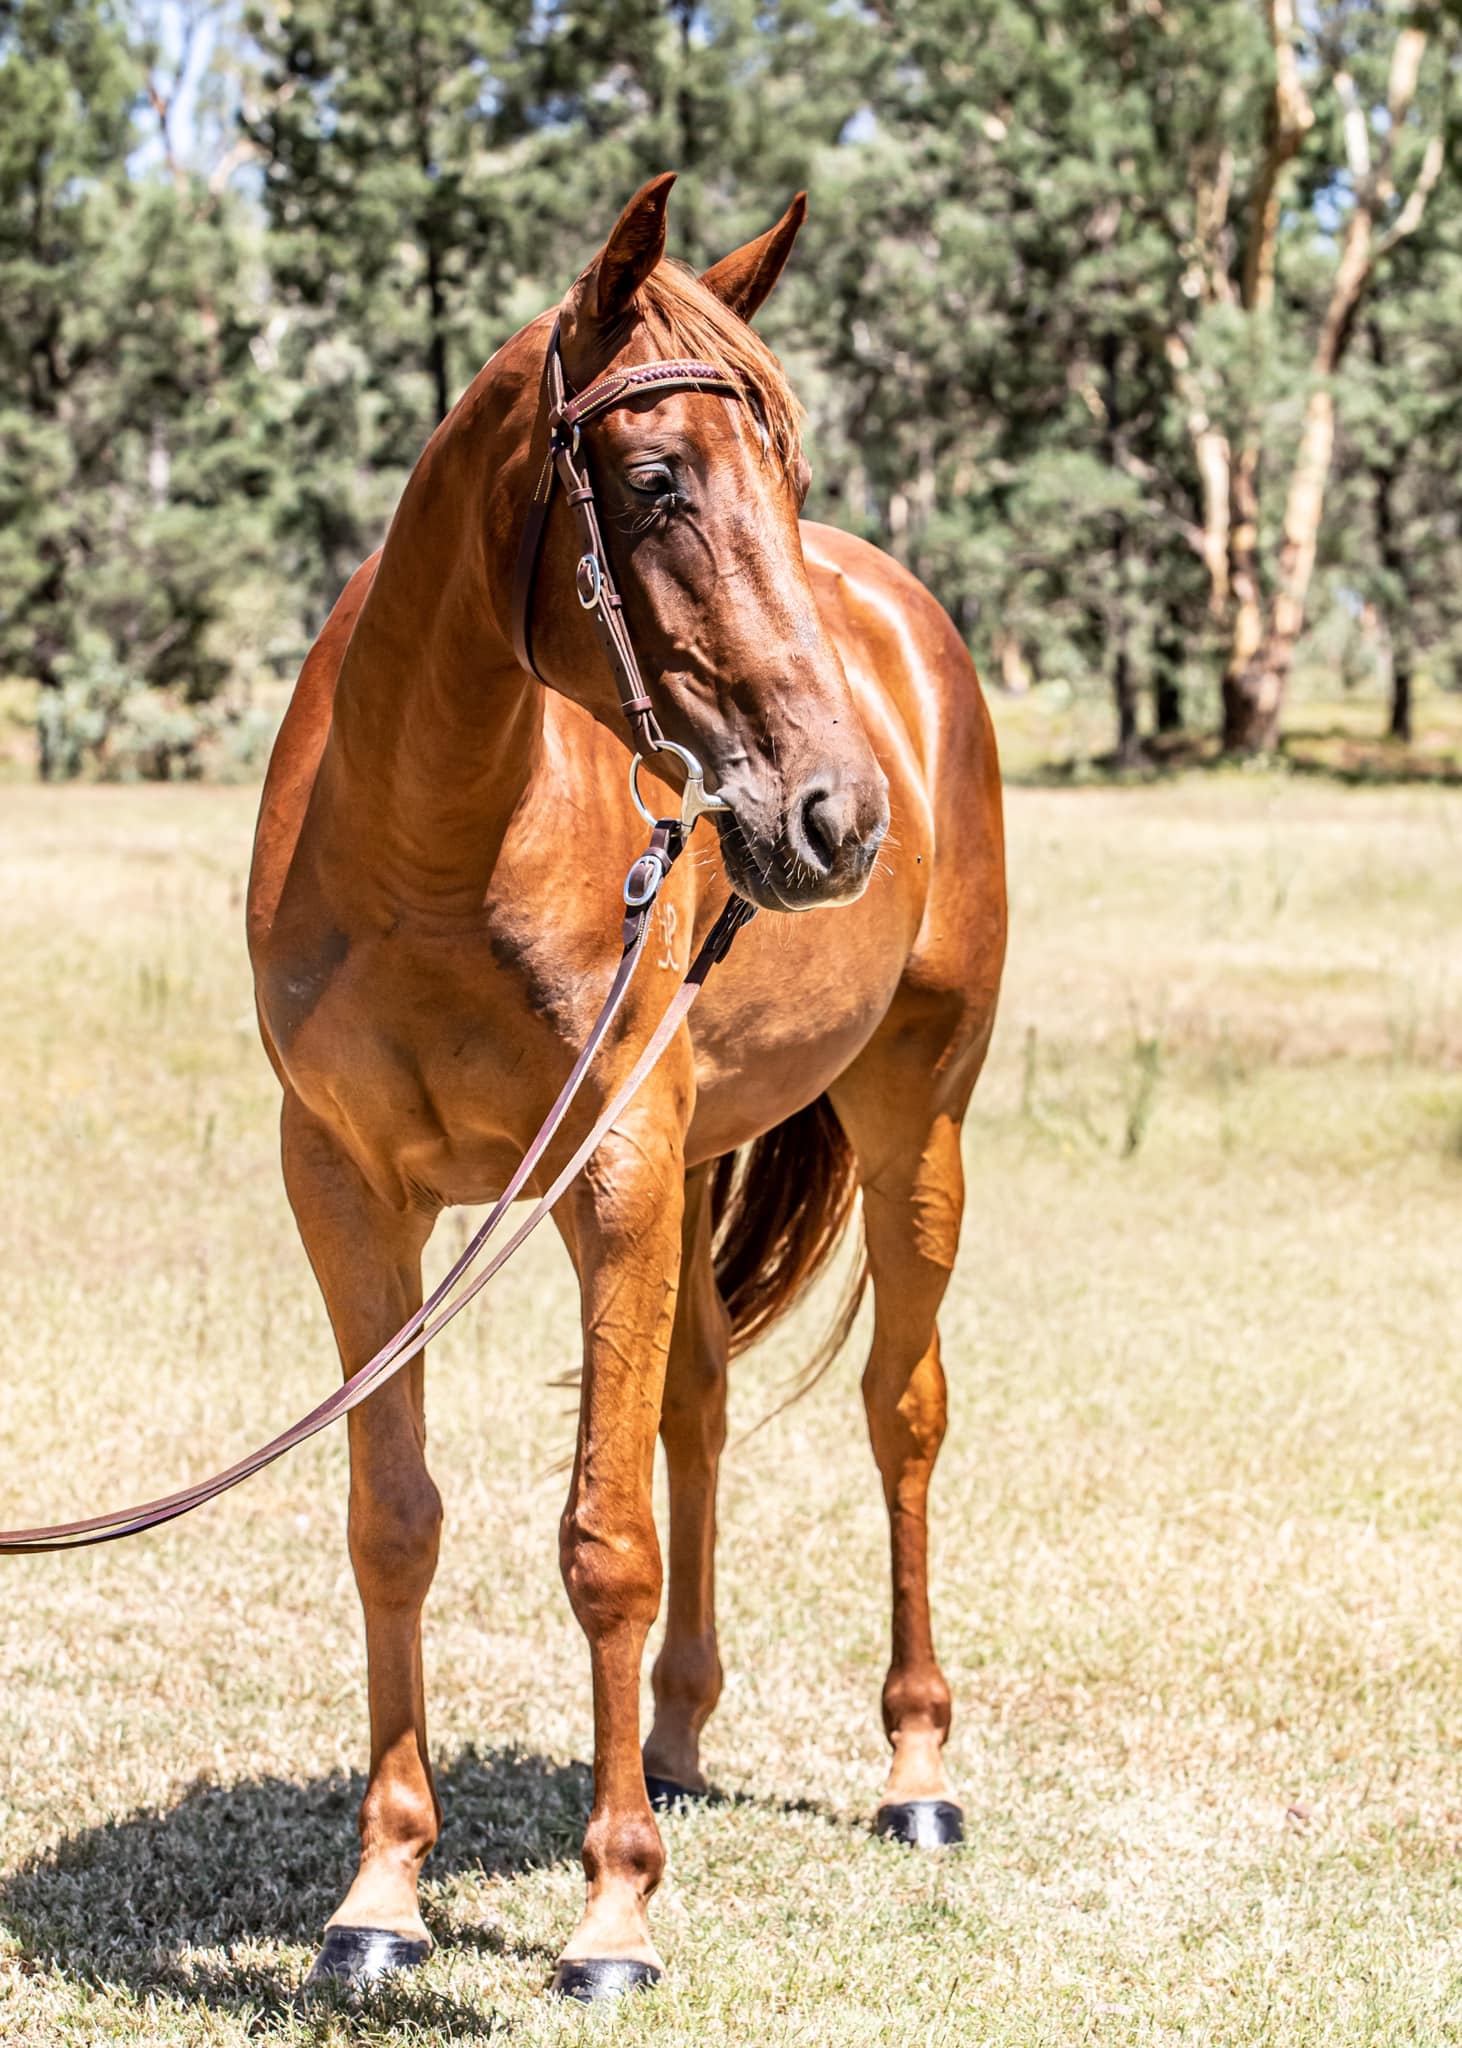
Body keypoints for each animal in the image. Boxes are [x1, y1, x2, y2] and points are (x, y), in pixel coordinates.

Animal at [246, 172, 1007, 2002]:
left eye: (788, 481)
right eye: (656, 483)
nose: (836, 816)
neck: (432, 844)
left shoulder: (608, 1174)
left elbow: (602, 1540)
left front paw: (611, 1911)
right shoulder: (348, 1188)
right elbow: (392, 1518)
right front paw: (379, 1896)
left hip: (913, 1121)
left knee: (901, 1412)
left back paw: (914, 1770)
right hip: (697, 1153)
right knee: (701, 1409)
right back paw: (672, 1740)